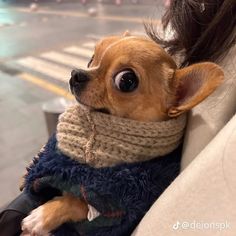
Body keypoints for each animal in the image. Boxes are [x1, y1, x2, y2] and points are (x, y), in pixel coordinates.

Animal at [20, 32, 223, 235]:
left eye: (126, 80)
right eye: (91, 59)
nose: (76, 74)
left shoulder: (114, 211)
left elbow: (76, 202)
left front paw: (42, 215)